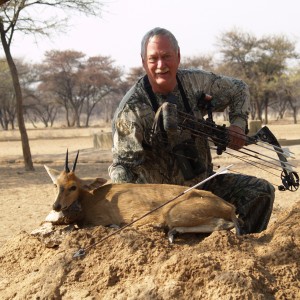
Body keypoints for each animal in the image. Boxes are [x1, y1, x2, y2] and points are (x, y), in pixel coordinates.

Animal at [44, 150, 239, 241]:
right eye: (56, 184)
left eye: (73, 187)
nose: (56, 206)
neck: (91, 198)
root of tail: (229, 206)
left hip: (173, 214)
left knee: (224, 224)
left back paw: (170, 232)